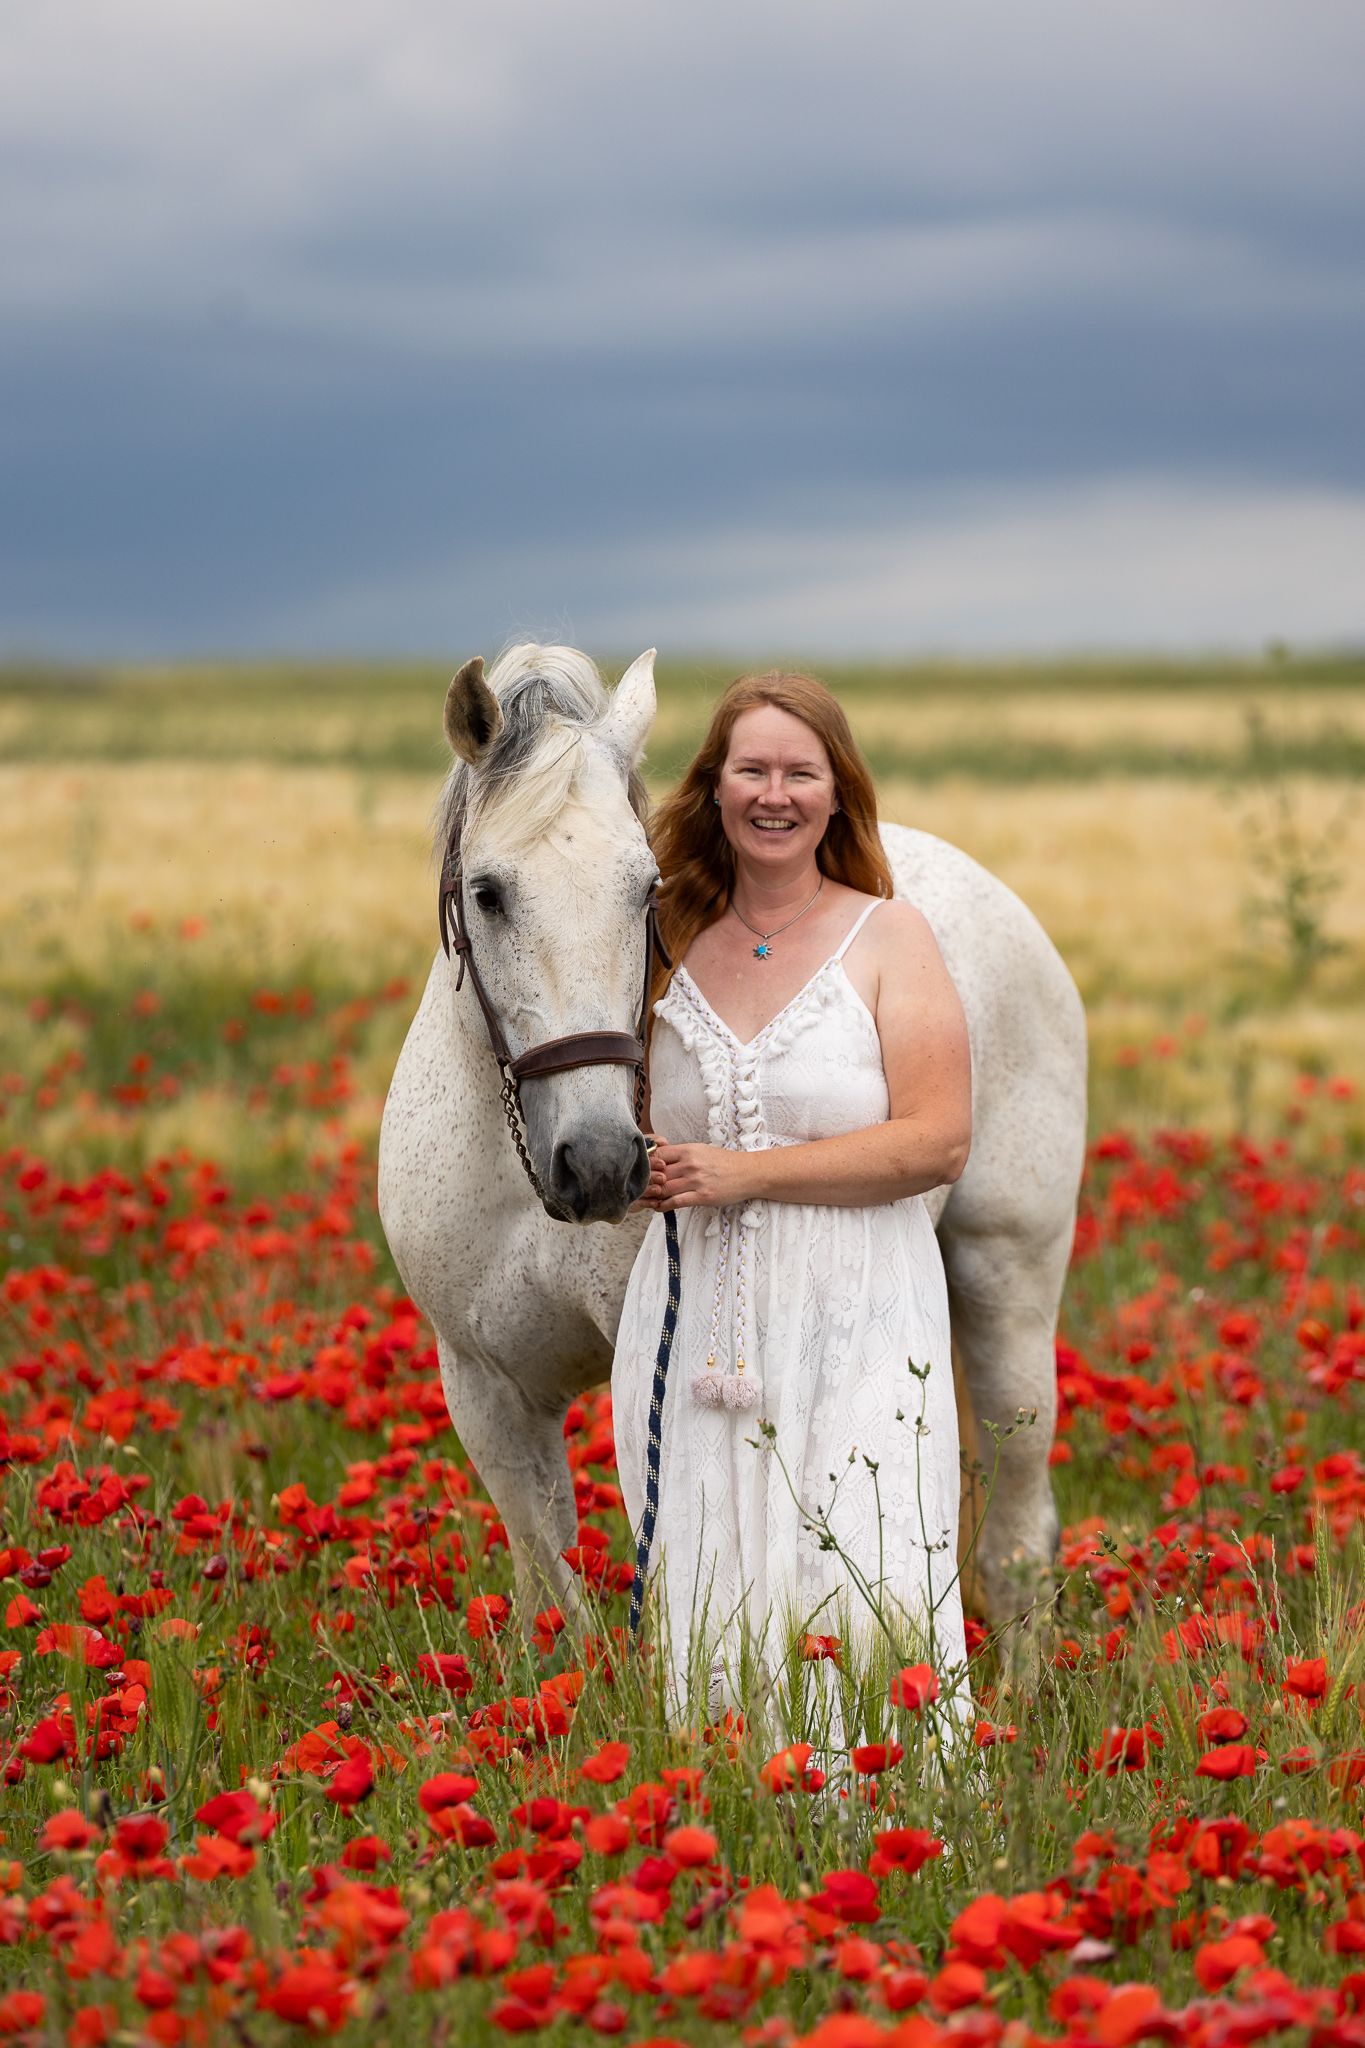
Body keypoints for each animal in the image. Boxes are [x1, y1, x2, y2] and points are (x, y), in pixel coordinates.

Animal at [378, 643, 1087, 1638]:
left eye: (645, 888)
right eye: (488, 892)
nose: (601, 1165)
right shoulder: (487, 1392)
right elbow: (554, 1604)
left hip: (1008, 1280)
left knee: (1018, 1537)